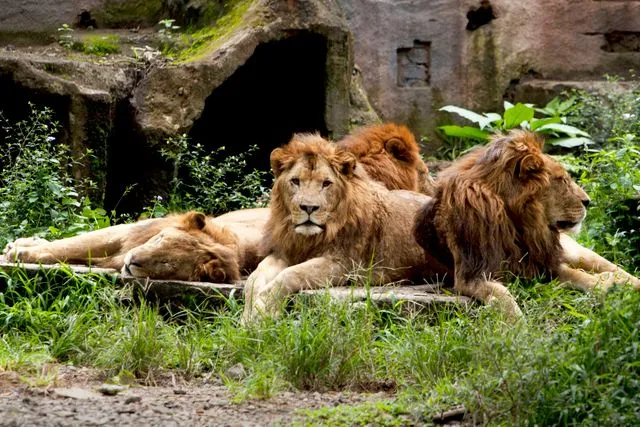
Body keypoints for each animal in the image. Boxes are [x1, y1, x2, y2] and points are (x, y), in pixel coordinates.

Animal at [2, 208, 269, 283]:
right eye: (160, 239)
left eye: (166, 263)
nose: (132, 261)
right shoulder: (125, 232)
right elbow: (71, 244)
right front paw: (19, 251)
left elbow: (70, 251)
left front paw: (22, 253)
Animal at [241, 133, 434, 323]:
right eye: (295, 181)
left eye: (326, 183)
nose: (308, 207)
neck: (308, 238)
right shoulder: (283, 252)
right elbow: (253, 279)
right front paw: (247, 315)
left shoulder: (344, 264)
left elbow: (291, 274)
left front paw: (263, 311)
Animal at [413, 130, 640, 315]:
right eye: (562, 180)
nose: (588, 201)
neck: (516, 222)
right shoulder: (472, 274)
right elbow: (503, 297)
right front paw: (516, 327)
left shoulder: (545, 264)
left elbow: (584, 278)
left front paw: (611, 287)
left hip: (578, 253)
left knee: (616, 270)